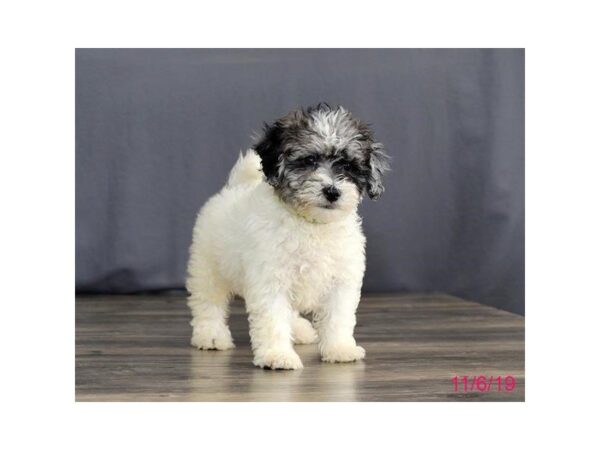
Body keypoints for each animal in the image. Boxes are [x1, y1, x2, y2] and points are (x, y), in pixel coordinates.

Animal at [186, 103, 390, 370]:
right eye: (309, 160)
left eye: (348, 166)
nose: (332, 191)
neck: (311, 224)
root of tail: (233, 188)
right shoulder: (270, 279)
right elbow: (272, 320)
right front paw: (277, 355)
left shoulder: (342, 280)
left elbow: (338, 317)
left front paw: (339, 348)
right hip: (208, 266)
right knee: (208, 302)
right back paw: (210, 335)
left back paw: (300, 331)